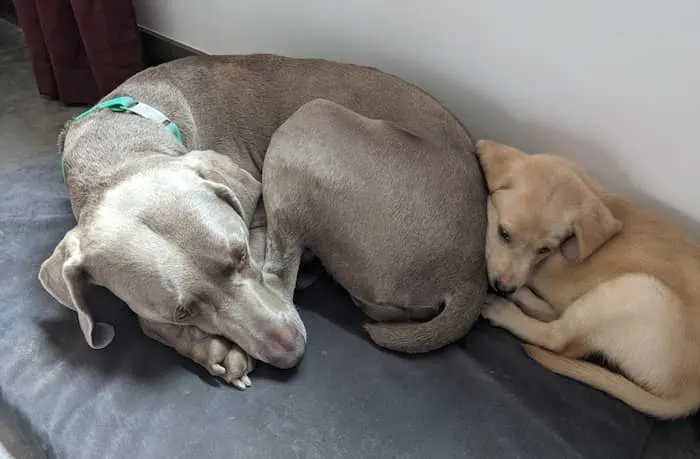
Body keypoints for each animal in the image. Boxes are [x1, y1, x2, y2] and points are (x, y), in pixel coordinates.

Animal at [38, 55, 486, 390]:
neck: (122, 141)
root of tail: (471, 275)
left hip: (310, 120)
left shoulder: (256, 216)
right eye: (182, 311)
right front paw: (206, 347)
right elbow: (148, 320)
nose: (289, 350)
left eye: (239, 255)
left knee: (282, 275)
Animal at [476, 140, 700, 420]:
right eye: (504, 233)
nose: (504, 288)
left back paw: (503, 309)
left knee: (558, 338)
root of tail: (692, 396)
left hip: (638, 292)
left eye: (544, 249)